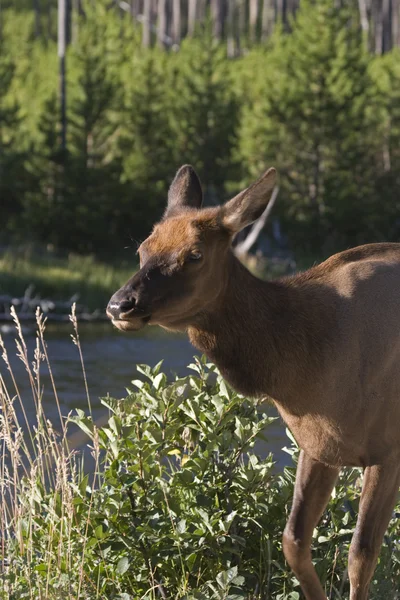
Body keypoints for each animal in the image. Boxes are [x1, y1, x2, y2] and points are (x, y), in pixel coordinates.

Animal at [106, 165, 400, 600]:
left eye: (195, 254)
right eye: (142, 249)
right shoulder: (319, 446)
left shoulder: (387, 449)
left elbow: (361, 557)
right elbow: (293, 541)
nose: (120, 304)